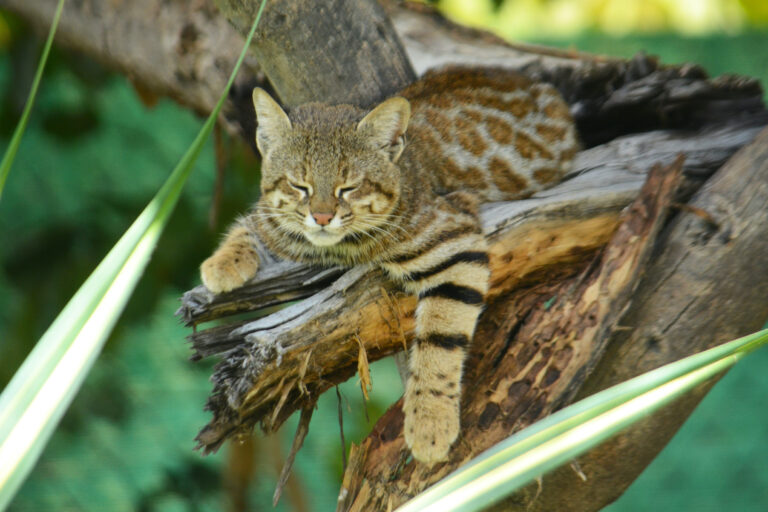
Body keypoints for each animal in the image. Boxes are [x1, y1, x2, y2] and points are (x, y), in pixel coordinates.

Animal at [200, 67, 576, 464]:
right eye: (299, 185)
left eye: (348, 187)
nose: (322, 217)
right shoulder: (277, 218)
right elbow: (251, 222)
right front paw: (223, 262)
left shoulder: (454, 241)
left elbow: (440, 340)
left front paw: (430, 420)